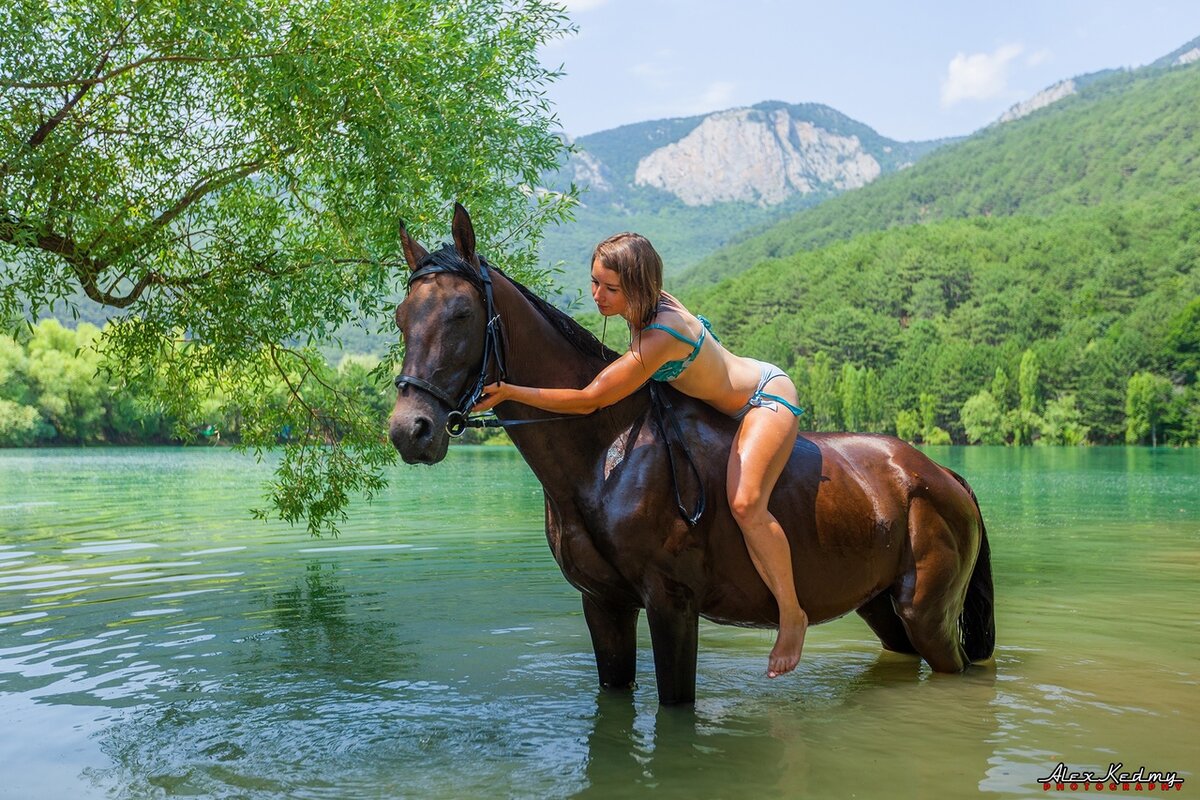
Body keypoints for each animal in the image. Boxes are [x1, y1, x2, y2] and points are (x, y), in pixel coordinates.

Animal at [386, 203, 993, 705]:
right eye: (401, 316)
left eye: (462, 314)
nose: (410, 430)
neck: (607, 456)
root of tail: (939, 474)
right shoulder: (603, 604)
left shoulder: (672, 606)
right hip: (881, 607)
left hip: (928, 614)